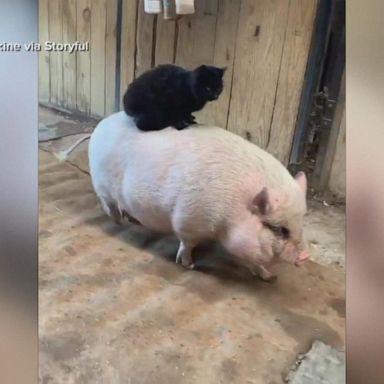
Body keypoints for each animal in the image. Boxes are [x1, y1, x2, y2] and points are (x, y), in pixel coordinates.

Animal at [88, 111, 310, 282]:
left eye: (301, 222)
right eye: (280, 229)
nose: (306, 255)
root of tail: (101, 124)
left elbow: (251, 259)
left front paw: (270, 277)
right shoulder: (188, 219)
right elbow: (187, 244)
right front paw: (189, 265)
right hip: (102, 184)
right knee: (108, 204)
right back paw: (119, 222)